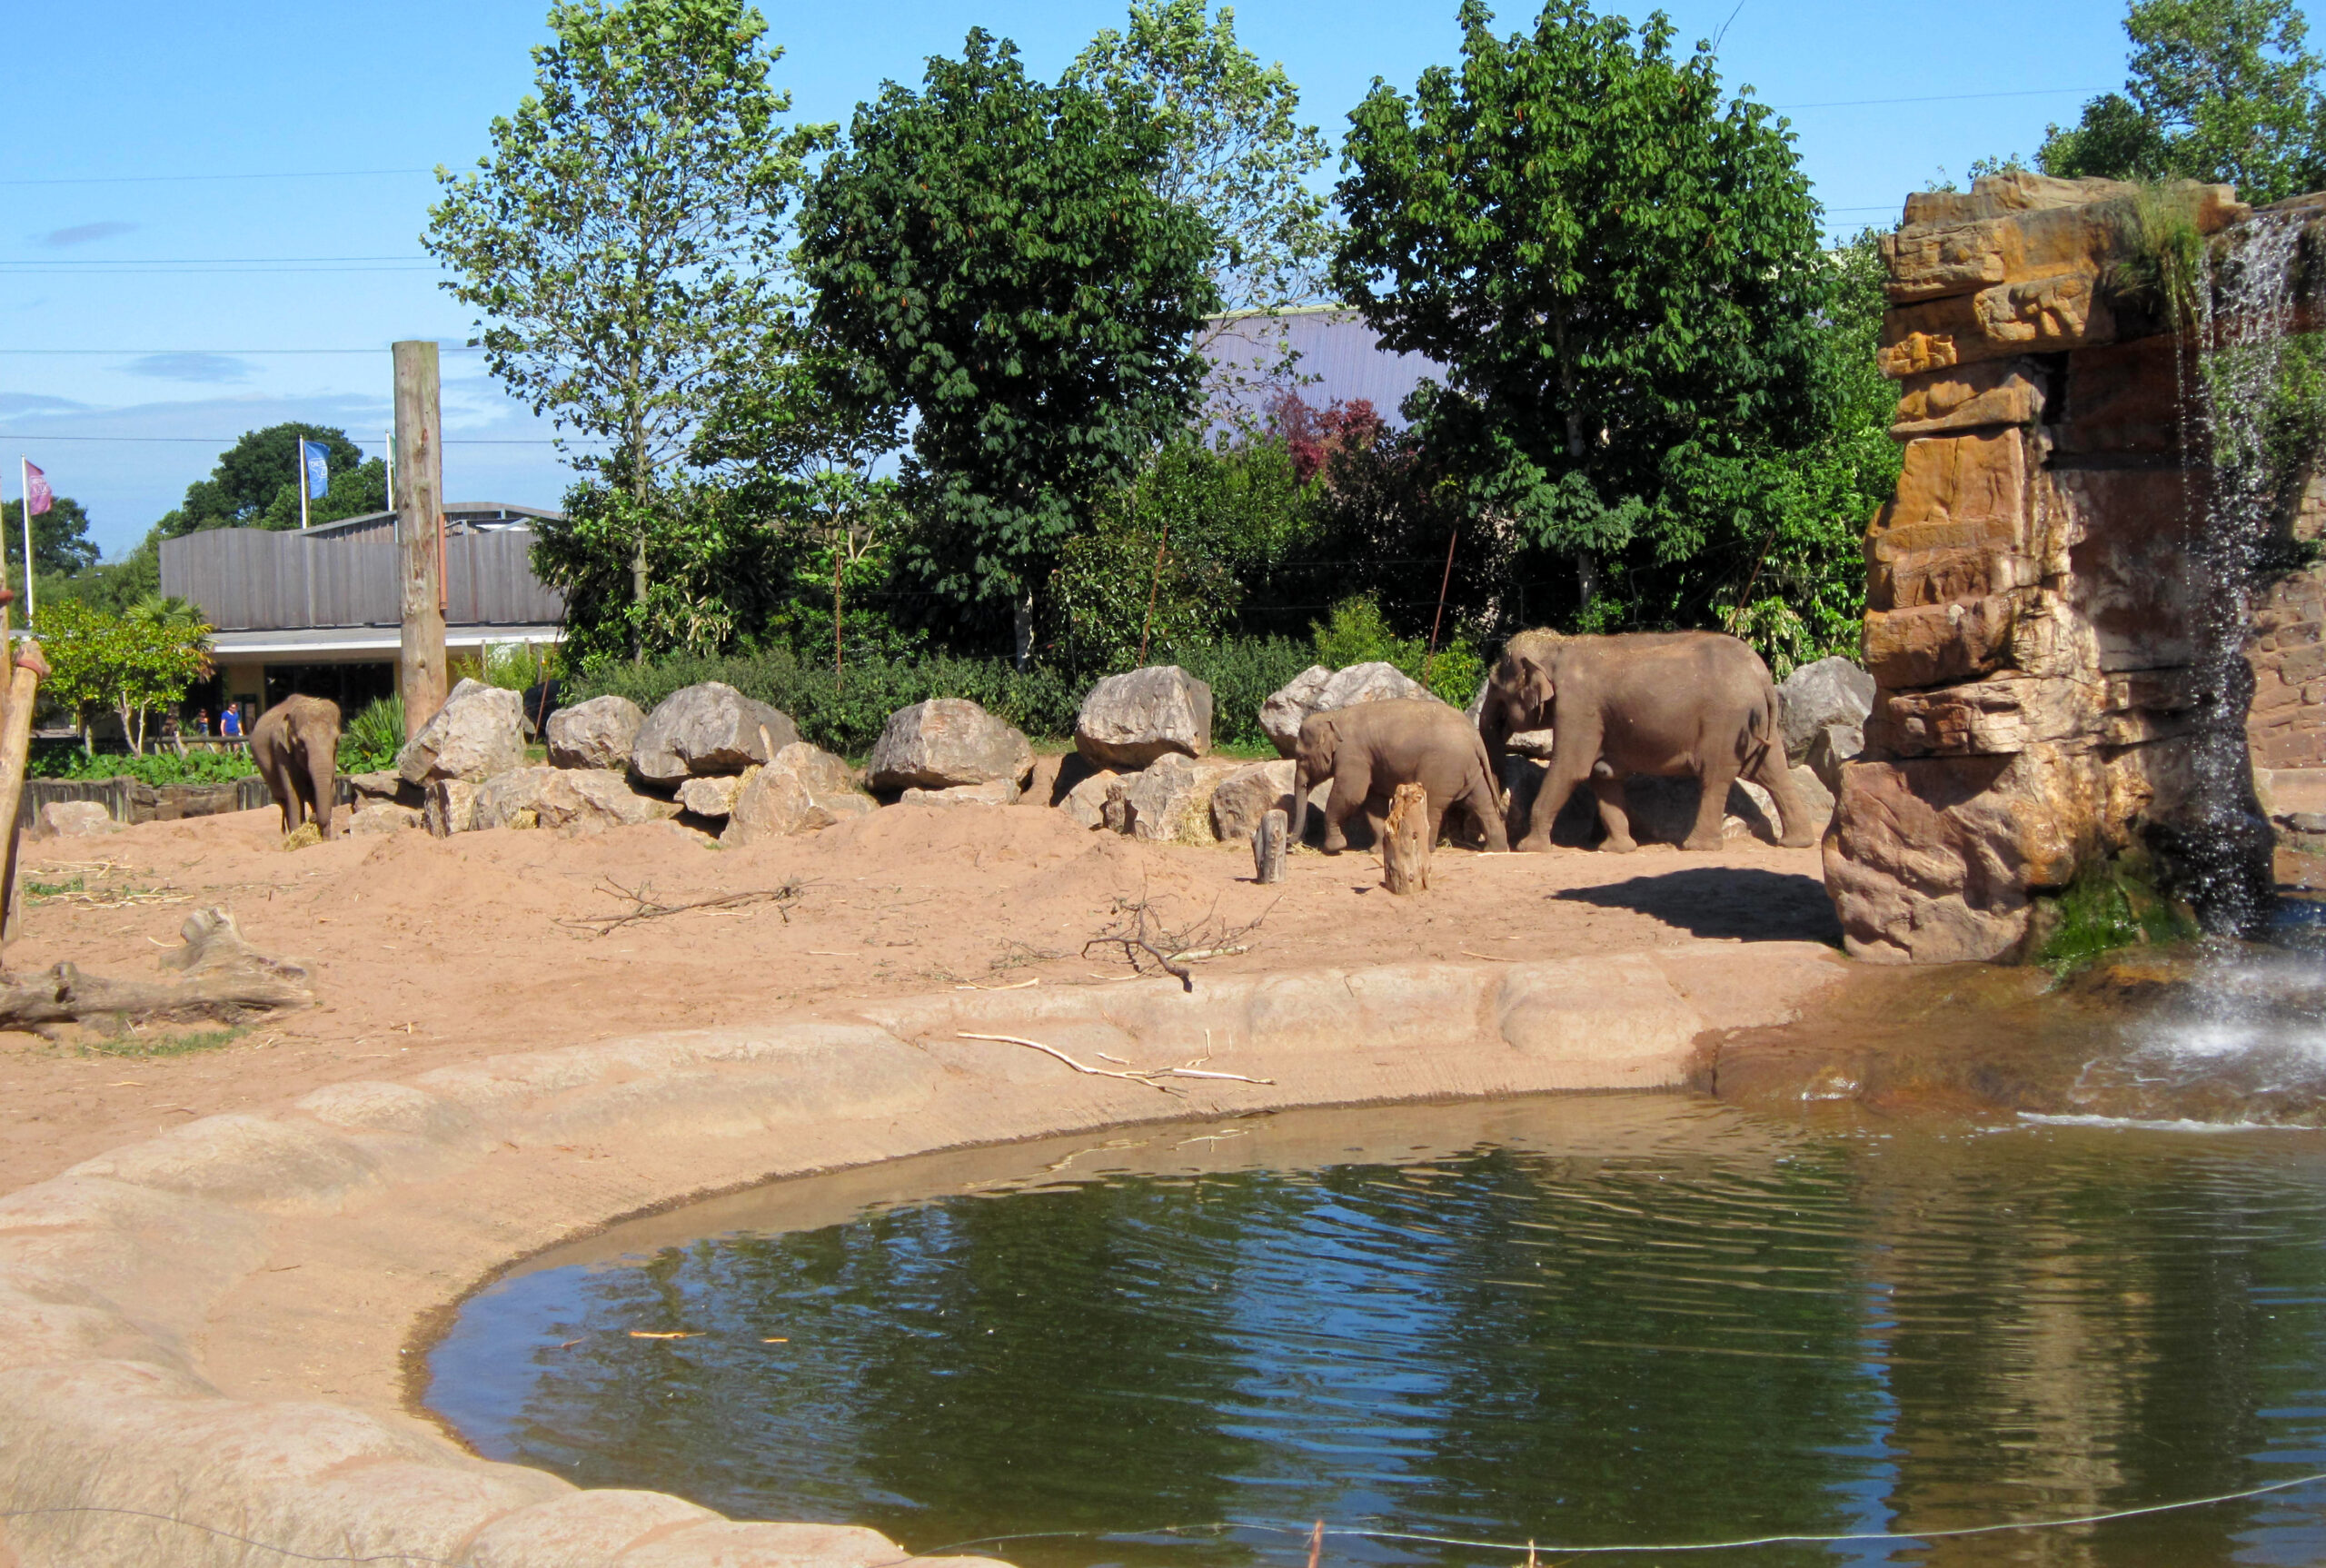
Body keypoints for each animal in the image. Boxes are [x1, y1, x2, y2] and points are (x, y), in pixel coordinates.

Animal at [250, 694, 343, 838]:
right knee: (284, 801)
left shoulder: (334, 757)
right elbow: (293, 791)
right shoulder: (280, 749)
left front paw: (325, 839)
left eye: (336, 741)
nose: (313, 818)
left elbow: (330, 789)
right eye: (301, 743)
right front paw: (297, 832)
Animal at [1290, 698, 1510, 855]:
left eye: (1301, 757)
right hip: (1472, 769)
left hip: (1443, 768)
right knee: (1482, 803)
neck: (1334, 716)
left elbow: (1351, 795)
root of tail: (1475, 737)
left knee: (1433, 805)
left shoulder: (1352, 756)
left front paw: (1333, 848)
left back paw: (1427, 848)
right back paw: (1495, 849)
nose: (1289, 842)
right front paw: (1377, 850)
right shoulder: (1372, 762)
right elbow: (1373, 802)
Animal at [1479, 629, 1816, 854]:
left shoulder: (1578, 707)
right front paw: (1617, 849)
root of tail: (1761, 674)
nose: (1502, 812)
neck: (1560, 644)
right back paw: (1796, 842)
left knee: (1716, 776)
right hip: (1754, 722)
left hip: (1725, 723)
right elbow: (1602, 774)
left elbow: (1570, 769)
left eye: (1496, 688)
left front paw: (1529, 848)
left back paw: (1697, 847)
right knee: (1772, 772)